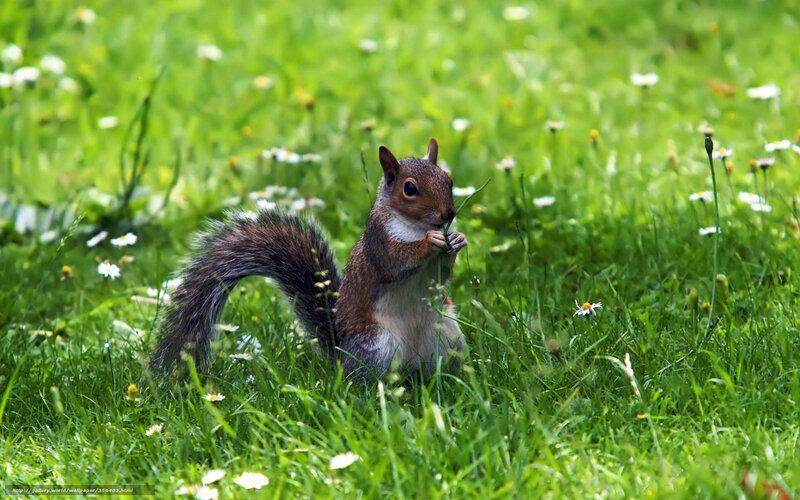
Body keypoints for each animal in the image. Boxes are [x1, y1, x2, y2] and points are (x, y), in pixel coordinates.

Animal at [151, 138, 467, 379]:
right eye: (409, 188)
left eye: (449, 179)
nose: (448, 214)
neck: (416, 226)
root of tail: (341, 354)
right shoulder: (378, 243)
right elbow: (396, 262)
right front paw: (430, 242)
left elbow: (442, 275)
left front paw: (457, 239)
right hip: (377, 346)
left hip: (448, 335)